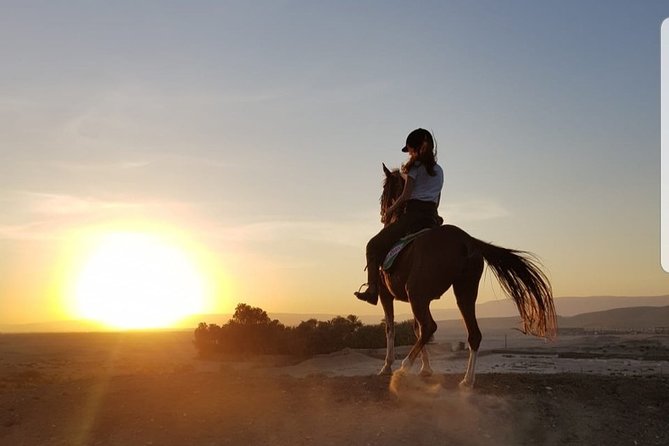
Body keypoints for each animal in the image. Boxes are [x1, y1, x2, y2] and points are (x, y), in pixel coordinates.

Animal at [376, 164, 557, 388]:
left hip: (419, 293)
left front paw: (386, 366)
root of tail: (467, 240)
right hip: (464, 292)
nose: (383, 214)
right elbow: (414, 329)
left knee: (429, 327)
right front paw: (426, 369)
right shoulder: (417, 299)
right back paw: (467, 380)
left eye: (385, 191)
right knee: (473, 334)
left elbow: (391, 328)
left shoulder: (387, 294)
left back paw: (404, 367)